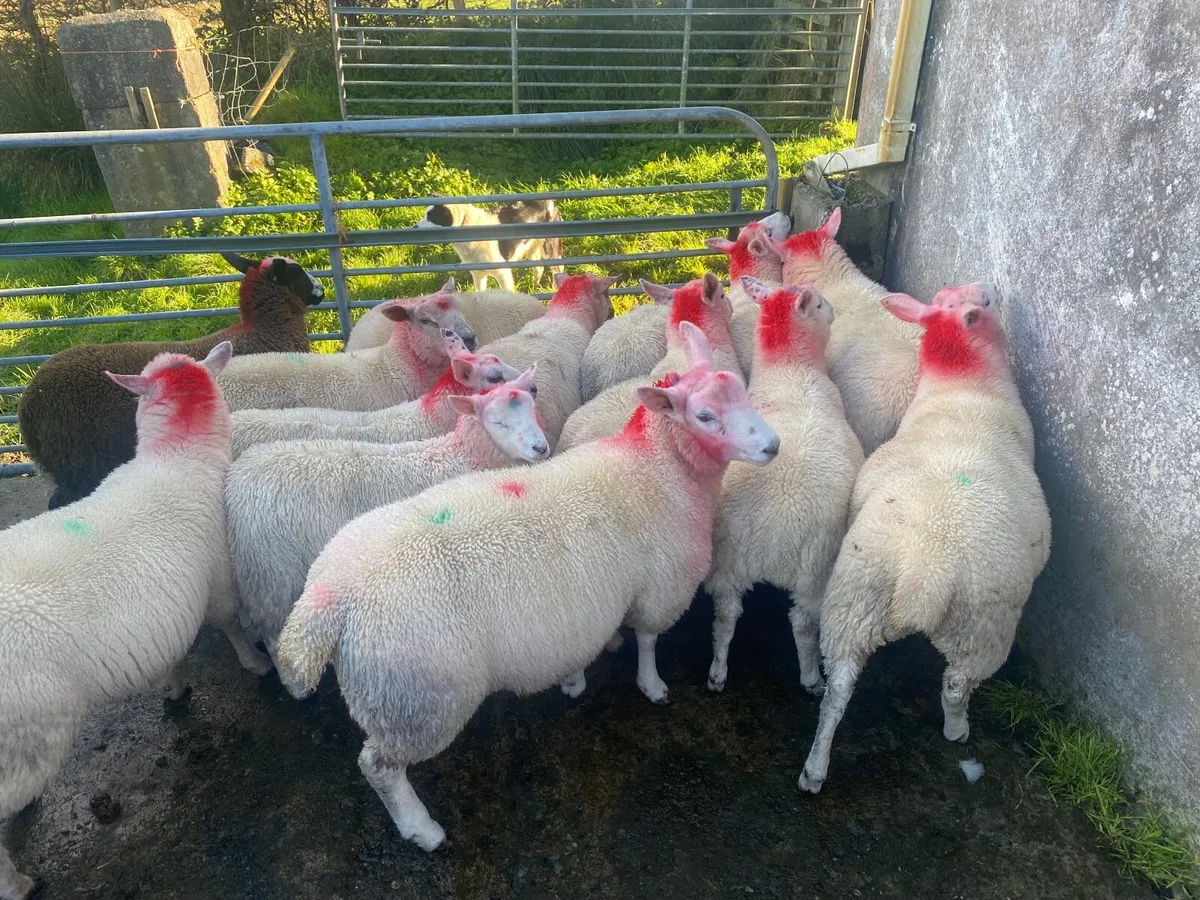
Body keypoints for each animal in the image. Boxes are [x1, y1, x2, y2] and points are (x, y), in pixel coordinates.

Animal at [0, 343, 271, 900]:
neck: (176, 456)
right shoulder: (218, 582)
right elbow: (232, 626)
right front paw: (256, 663)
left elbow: (172, 656)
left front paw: (174, 686)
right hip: (27, 727)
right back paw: (16, 881)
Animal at [227, 366, 546, 697]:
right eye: (498, 422)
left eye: (531, 409)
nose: (541, 447)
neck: (458, 456)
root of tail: (237, 480)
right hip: (273, 573)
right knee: (273, 633)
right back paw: (291, 685)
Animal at [273, 322, 780, 852]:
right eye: (704, 415)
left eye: (741, 393)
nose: (772, 445)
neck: (658, 469)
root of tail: (327, 598)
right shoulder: (661, 584)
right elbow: (647, 640)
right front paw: (653, 685)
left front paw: (578, 675)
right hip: (417, 700)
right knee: (379, 767)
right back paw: (422, 828)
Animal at [704, 277, 864, 695]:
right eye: (821, 304)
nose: (833, 312)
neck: (790, 366)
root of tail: (774, 529)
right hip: (815, 570)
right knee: (803, 624)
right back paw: (811, 679)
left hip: (727, 561)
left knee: (725, 617)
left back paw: (717, 672)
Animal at [796, 283, 1051, 795]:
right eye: (983, 304)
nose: (991, 288)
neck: (965, 384)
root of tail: (925, 573)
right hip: (983, 626)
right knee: (956, 684)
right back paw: (957, 729)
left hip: (854, 601)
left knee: (838, 690)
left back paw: (815, 768)